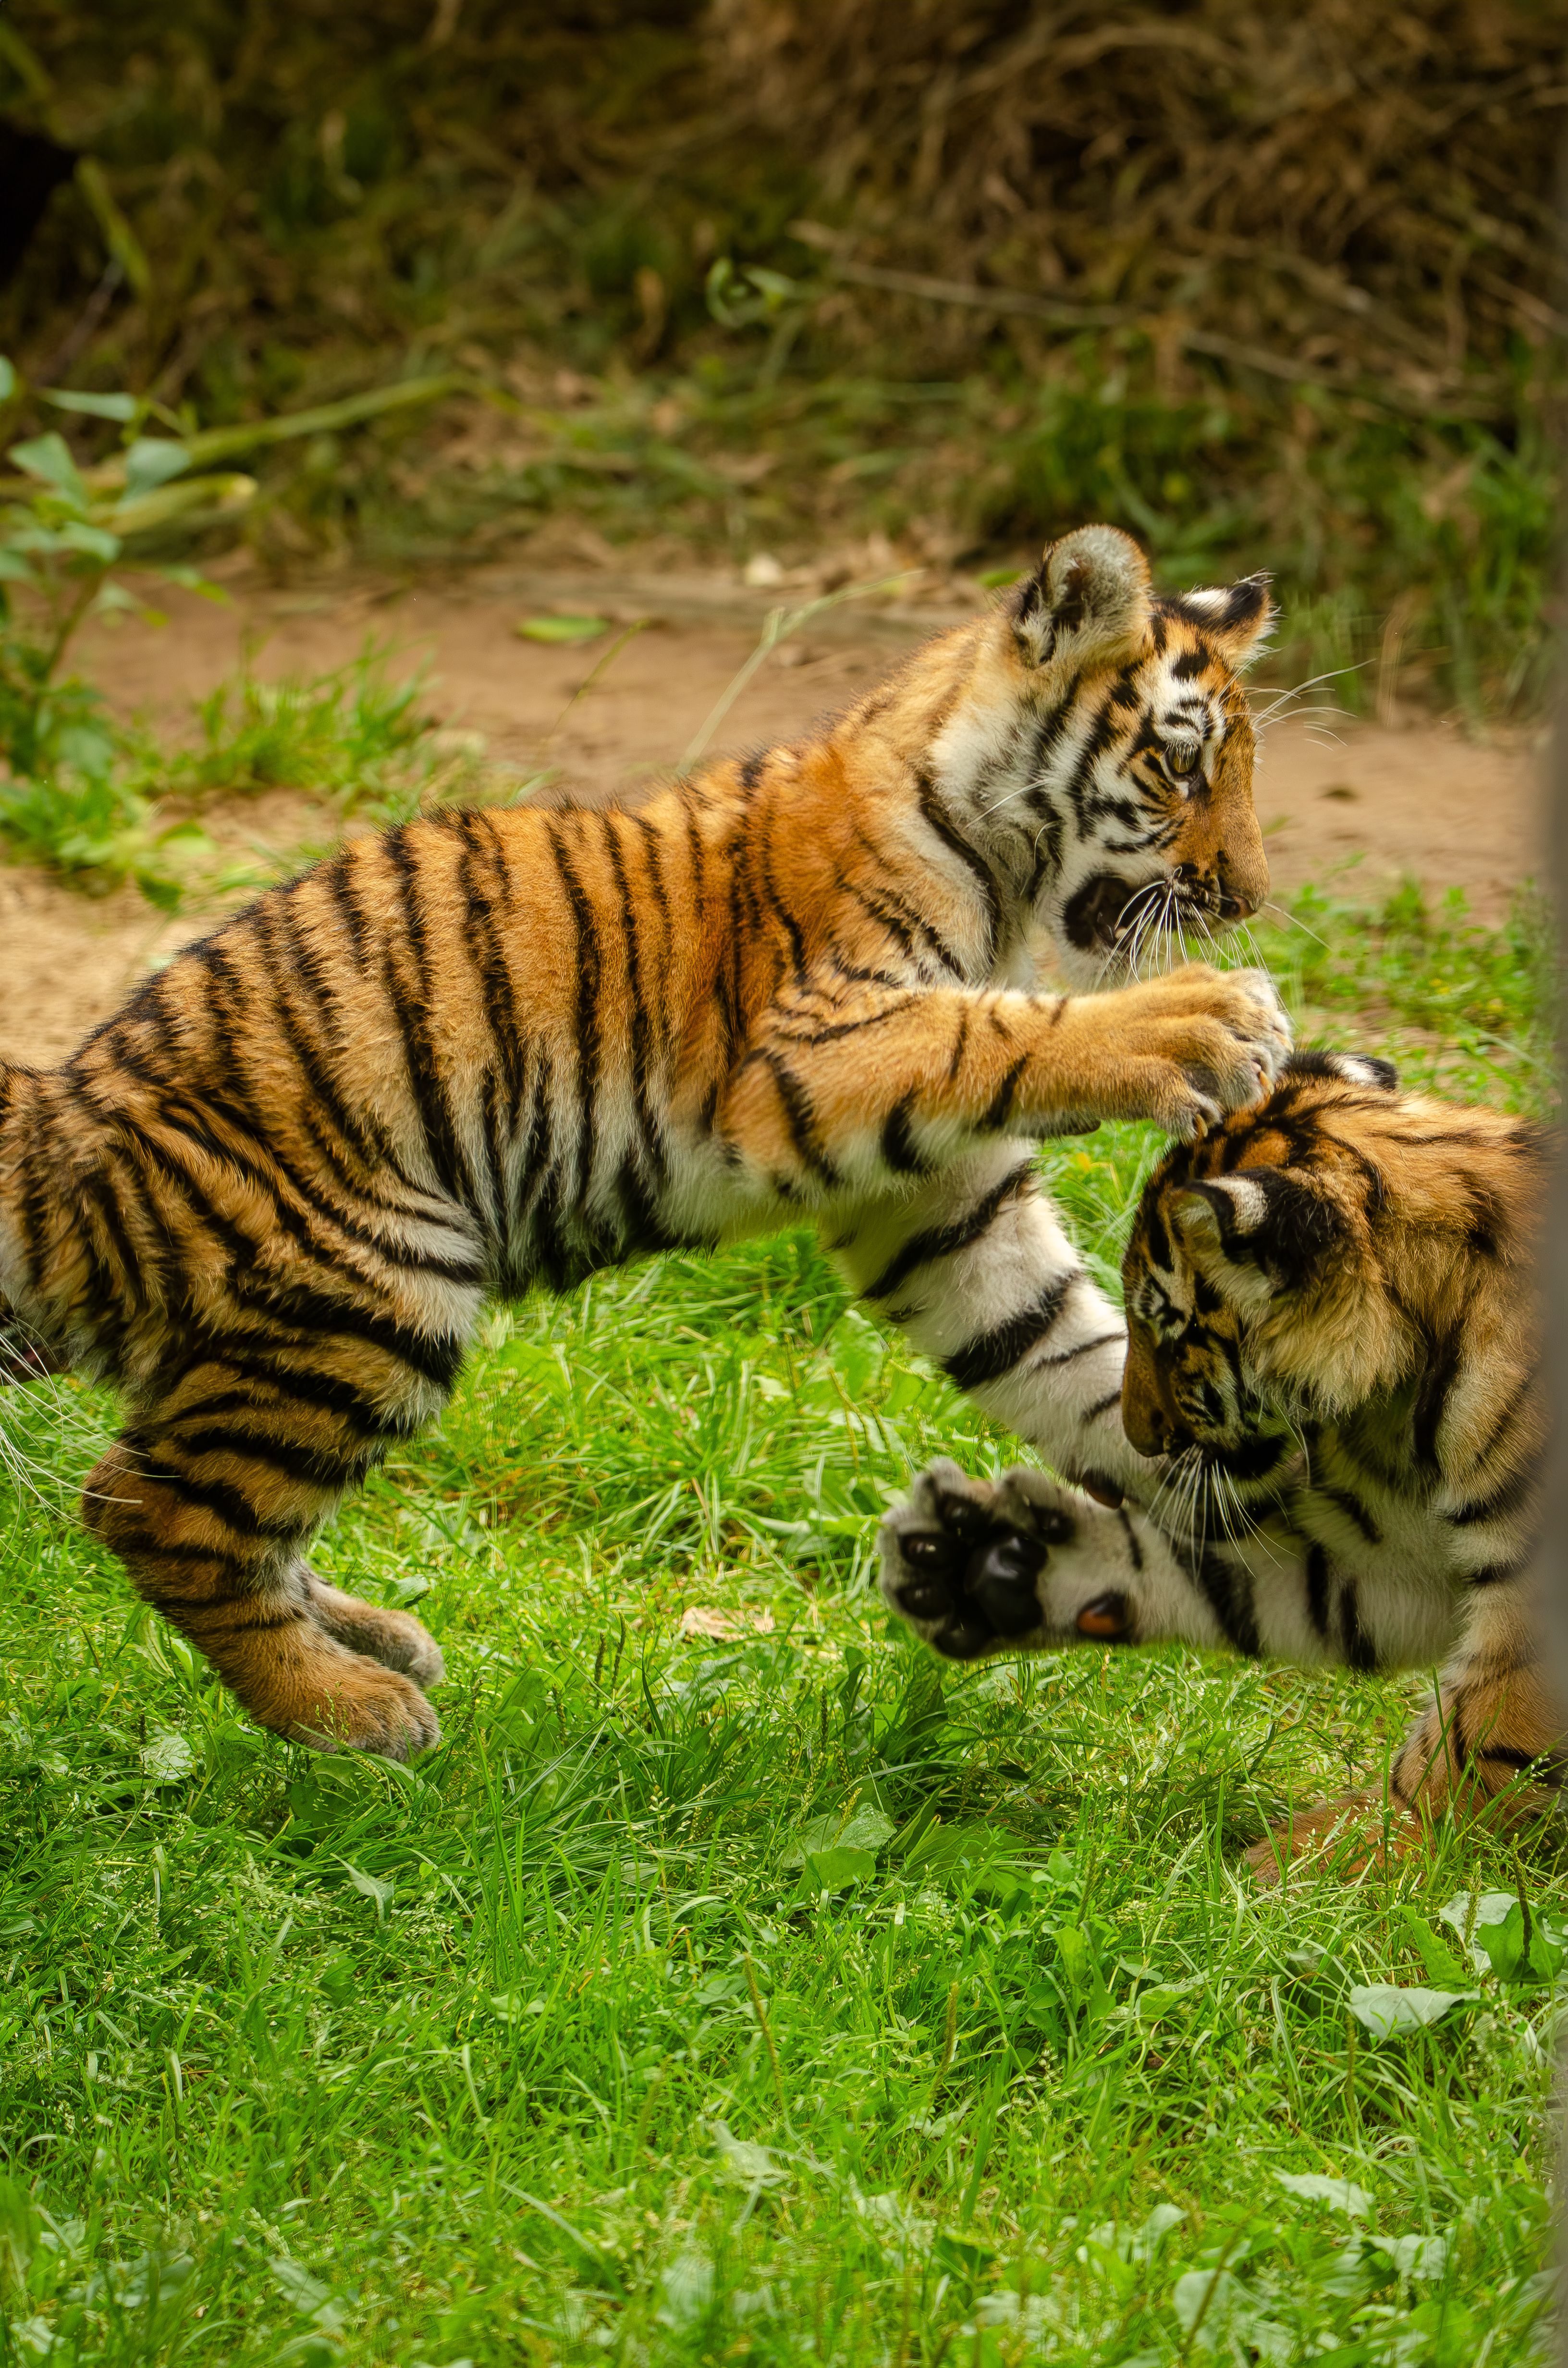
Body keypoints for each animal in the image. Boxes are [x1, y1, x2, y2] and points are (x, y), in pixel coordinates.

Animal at [0, 523, 1289, 1759]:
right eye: (1179, 766)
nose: (1249, 898)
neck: (1004, 880)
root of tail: (63, 1120)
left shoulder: (941, 1202)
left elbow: (1063, 1348)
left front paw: (1224, 1483)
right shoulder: (810, 1053)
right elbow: (1010, 1033)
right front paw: (1210, 1019)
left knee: (162, 1489)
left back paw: (376, 1642)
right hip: (380, 1284)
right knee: (155, 1512)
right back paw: (348, 1710)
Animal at [879, 1049, 1557, 1880]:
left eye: (1170, 1331)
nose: (1138, 1437)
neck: (1414, 1378)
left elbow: (1472, 1750)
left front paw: (1324, 1868)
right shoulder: (1400, 1558)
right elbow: (1225, 1576)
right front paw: (983, 1565)